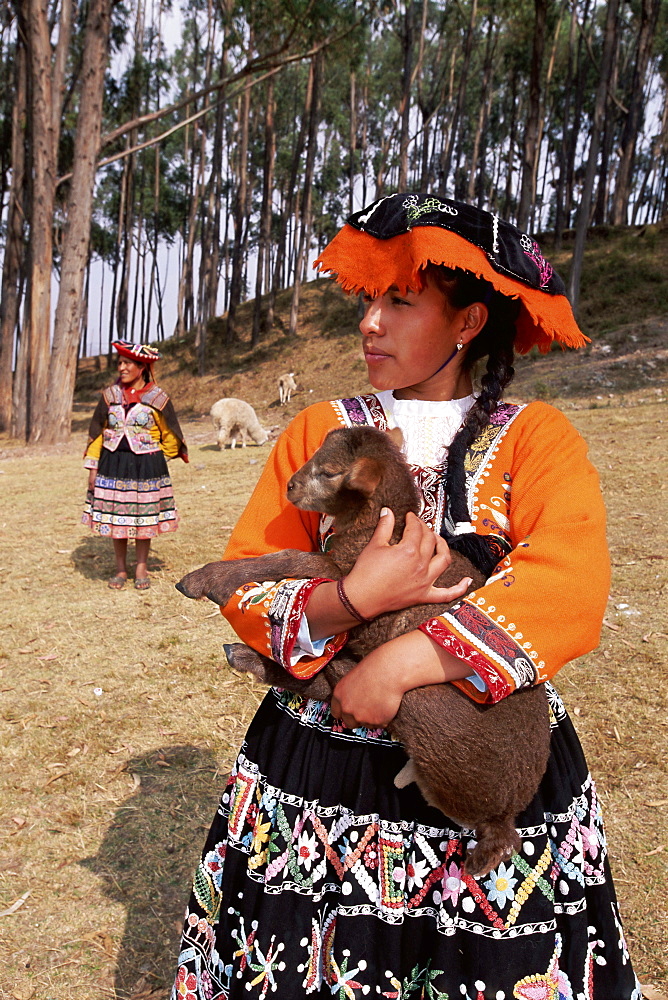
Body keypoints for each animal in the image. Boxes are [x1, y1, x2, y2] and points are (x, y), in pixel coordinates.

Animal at [175, 426, 552, 880]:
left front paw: (206, 579)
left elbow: (291, 557)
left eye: (330, 471)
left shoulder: (345, 579)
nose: (290, 486)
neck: (374, 528)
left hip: (423, 706)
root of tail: (507, 813)